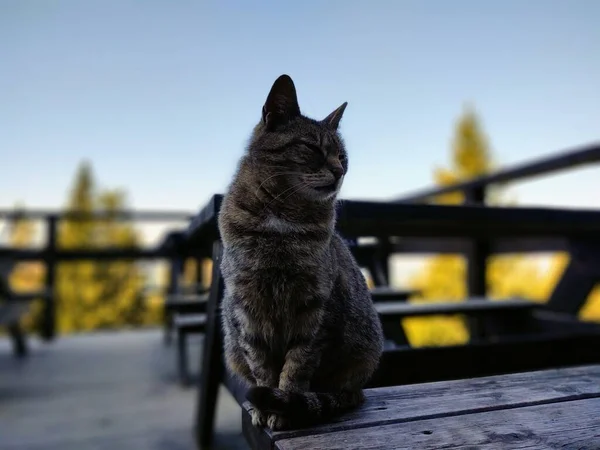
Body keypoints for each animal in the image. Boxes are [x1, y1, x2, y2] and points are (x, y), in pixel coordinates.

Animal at [218, 73, 382, 428]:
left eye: (342, 157)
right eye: (312, 148)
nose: (339, 171)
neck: (281, 222)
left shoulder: (315, 307)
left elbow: (297, 365)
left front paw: (285, 405)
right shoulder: (246, 308)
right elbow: (261, 367)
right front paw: (266, 406)